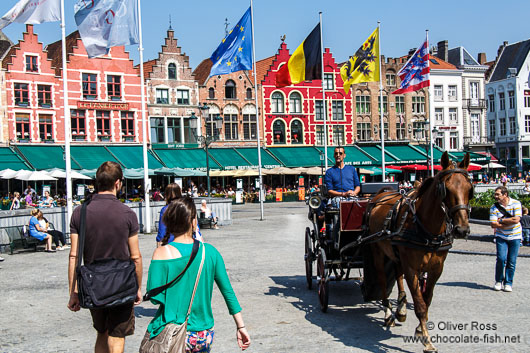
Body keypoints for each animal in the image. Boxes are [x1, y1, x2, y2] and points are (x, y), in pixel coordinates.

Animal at [366, 152, 472, 352]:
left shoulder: (436, 268)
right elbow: (420, 304)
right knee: (383, 279)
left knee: (397, 274)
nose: (462, 230)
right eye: (445, 189)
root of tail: (382, 193)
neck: (428, 229)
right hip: (377, 251)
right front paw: (427, 340)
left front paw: (420, 329)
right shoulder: (412, 268)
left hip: (396, 252)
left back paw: (400, 308)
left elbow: (426, 299)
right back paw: (388, 313)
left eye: (470, 188)